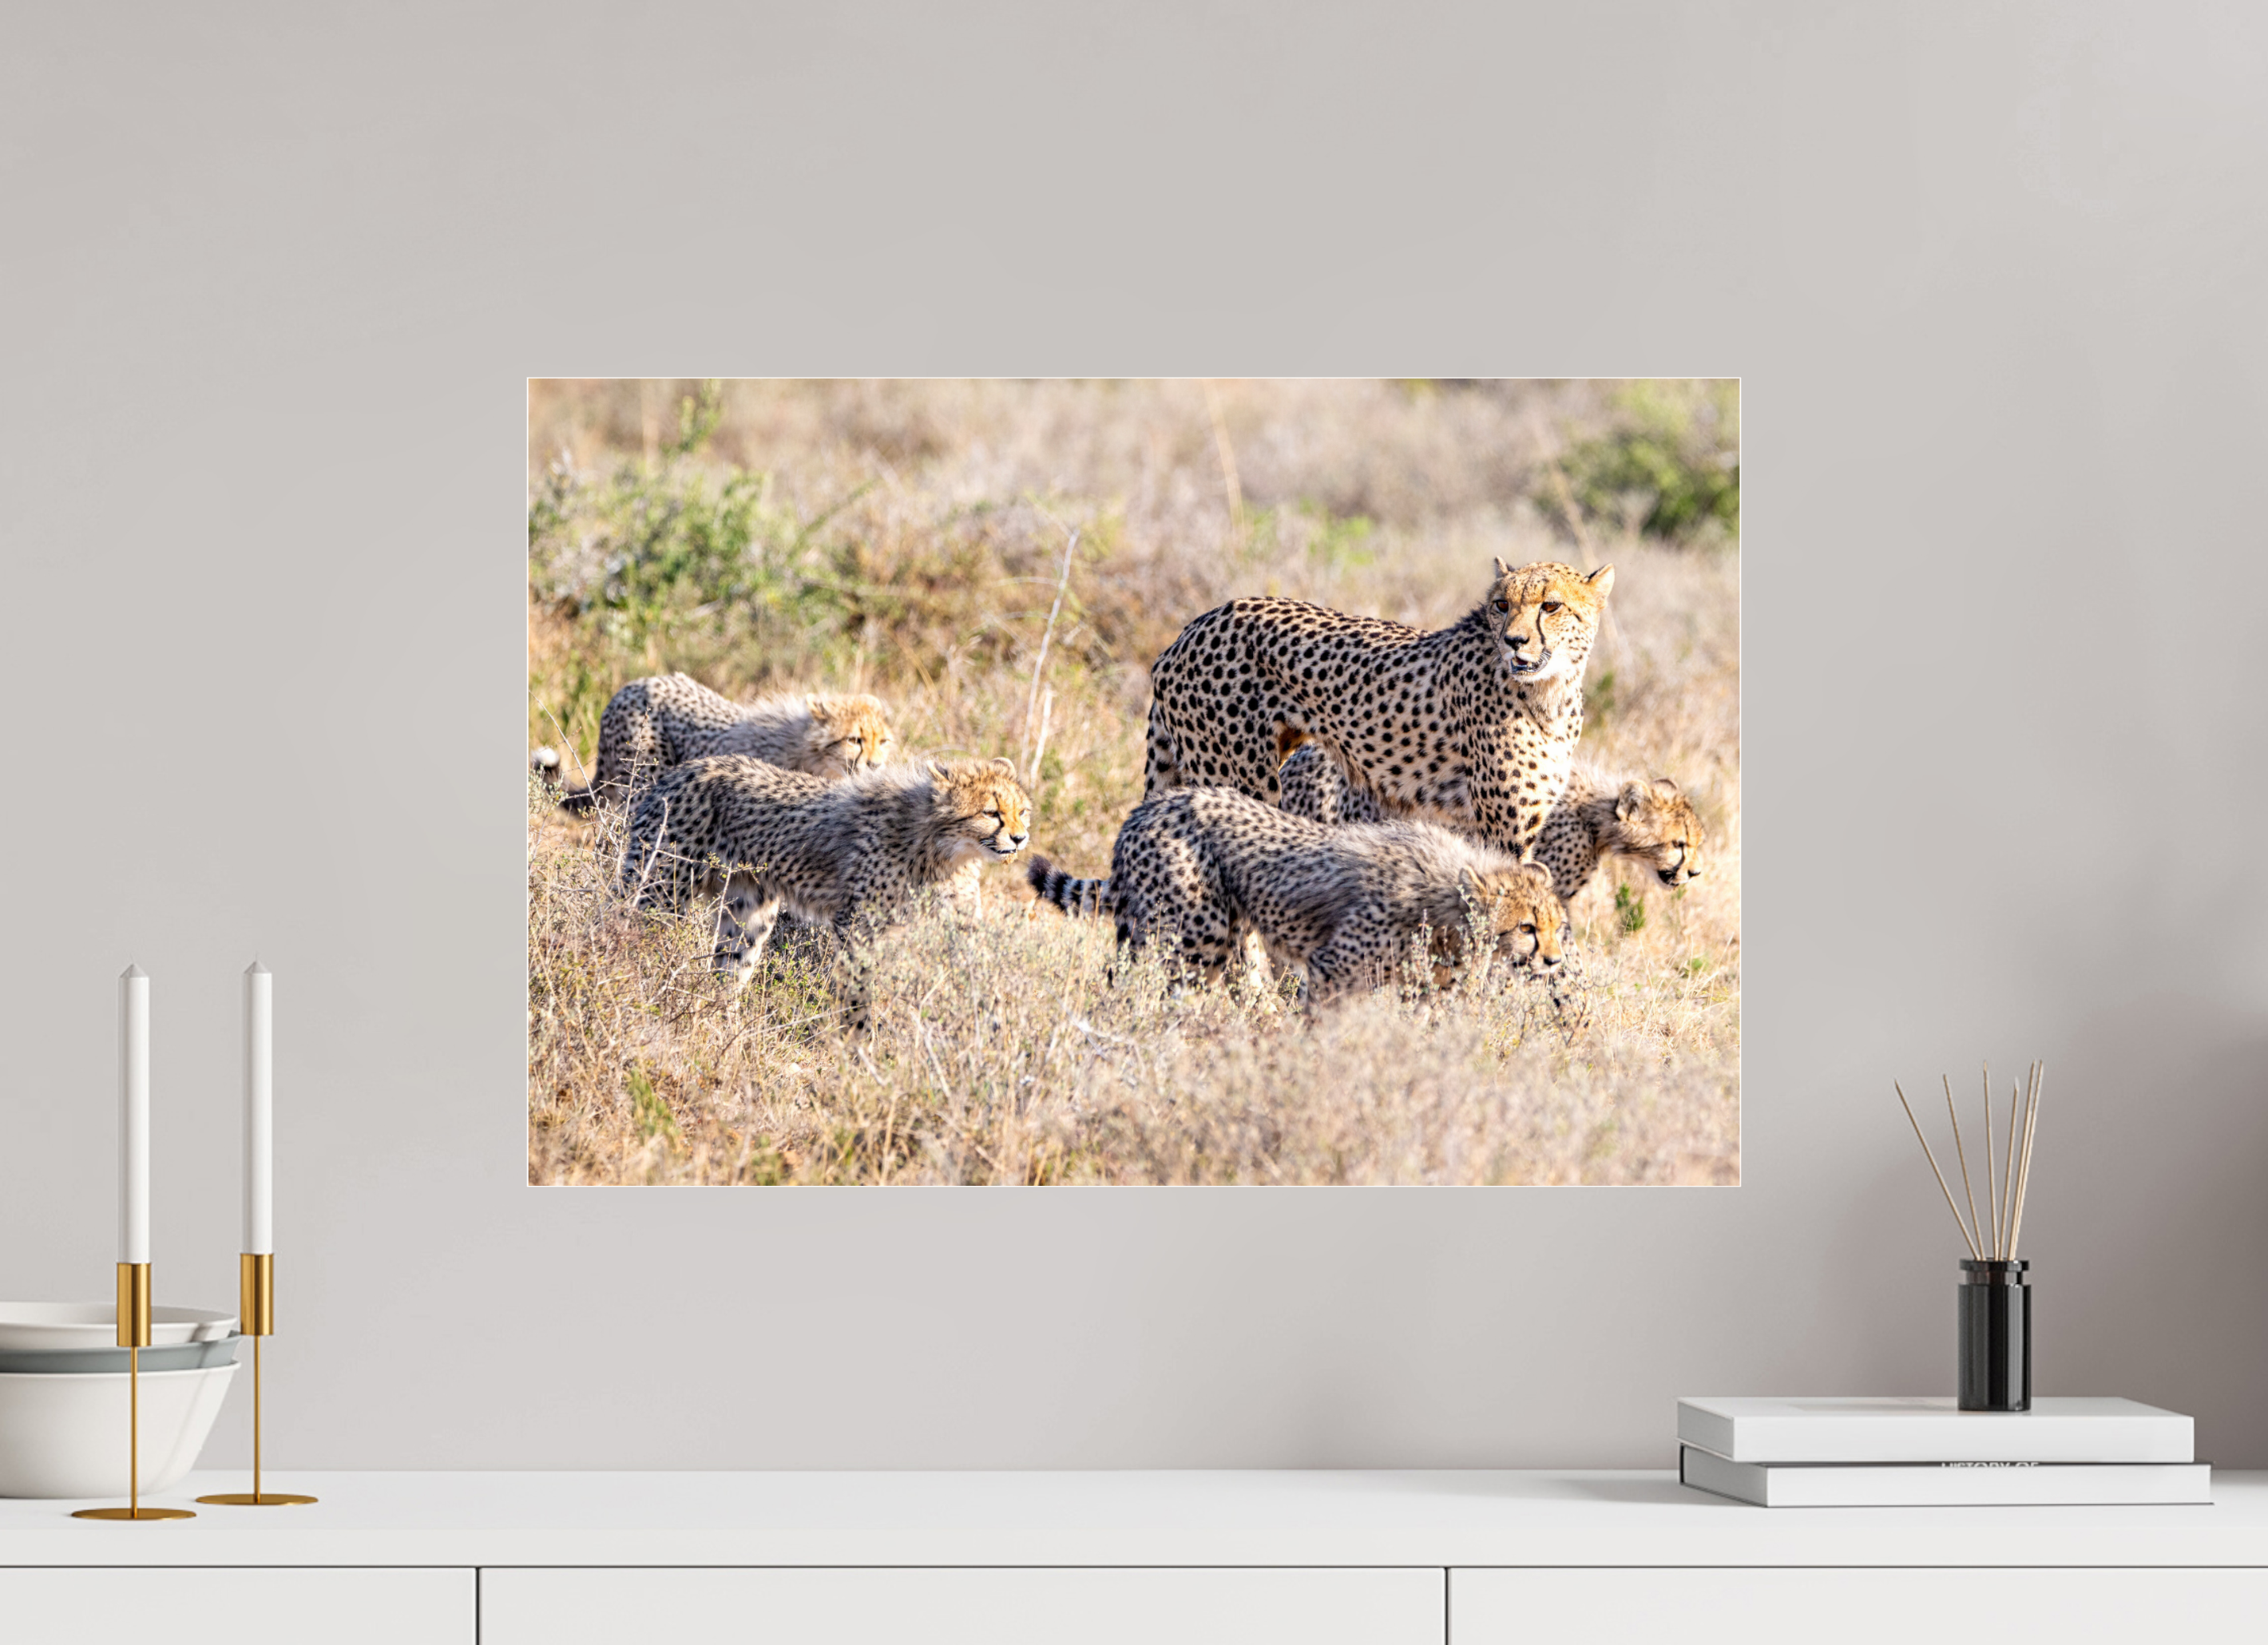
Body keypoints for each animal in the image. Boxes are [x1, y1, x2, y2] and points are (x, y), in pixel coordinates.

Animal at [620, 754, 1029, 996]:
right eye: (991, 812)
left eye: (1022, 811)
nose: (1021, 838)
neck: (942, 849)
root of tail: (683, 770)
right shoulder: (857, 926)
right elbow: (858, 992)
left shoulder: (960, 924)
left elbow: (974, 967)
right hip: (658, 890)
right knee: (623, 932)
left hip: (750, 910)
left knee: (730, 969)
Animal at [1025, 786, 1565, 1008]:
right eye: (1526, 927)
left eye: (1558, 927)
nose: (1555, 961)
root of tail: (1151, 806)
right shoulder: (1331, 968)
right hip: (1195, 933)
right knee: (1154, 983)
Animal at [1140, 559, 1614, 861]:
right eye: (1502, 605)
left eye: (1550, 605)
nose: (1514, 641)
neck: (1550, 692)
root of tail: (1196, 625)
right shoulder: (1502, 830)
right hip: (1238, 778)